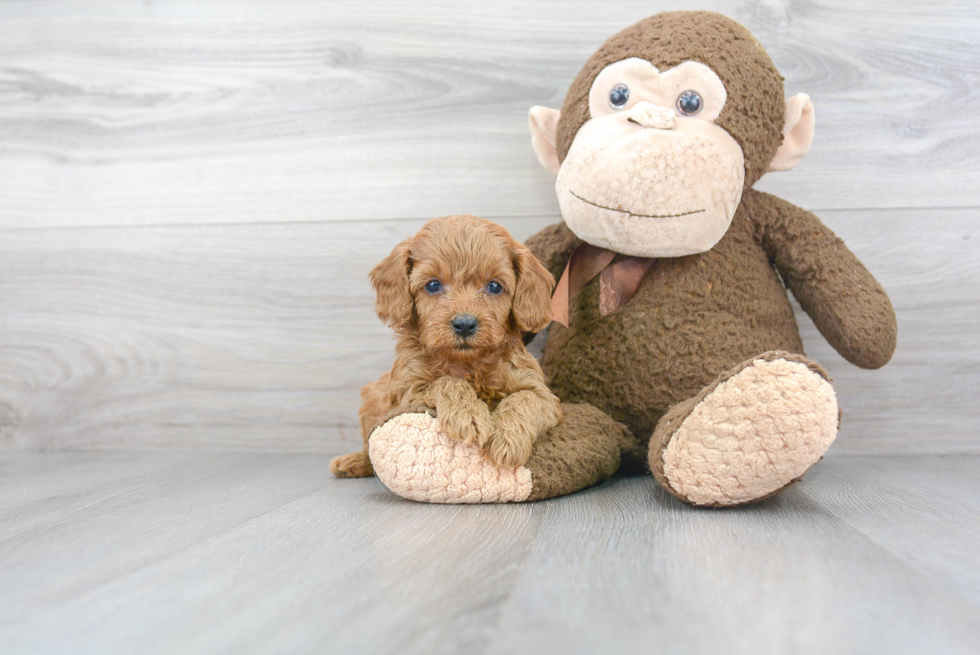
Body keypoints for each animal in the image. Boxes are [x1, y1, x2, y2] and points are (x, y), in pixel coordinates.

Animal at [330, 218, 560, 480]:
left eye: (494, 286)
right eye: (433, 285)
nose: (465, 324)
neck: (467, 363)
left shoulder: (543, 395)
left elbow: (524, 398)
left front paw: (508, 439)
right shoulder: (408, 389)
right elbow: (446, 382)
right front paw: (468, 415)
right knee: (369, 445)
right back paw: (352, 462)